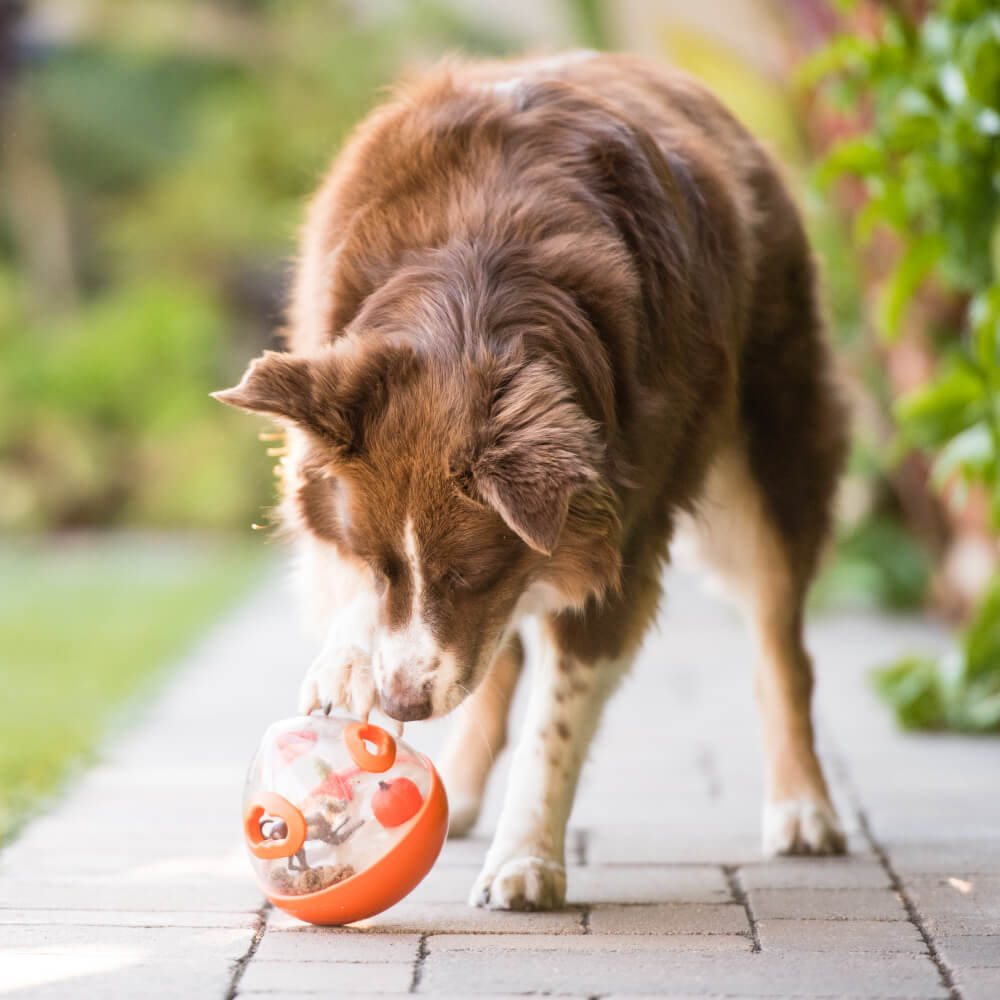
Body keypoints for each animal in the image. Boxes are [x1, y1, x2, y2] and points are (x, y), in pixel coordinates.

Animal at [215, 54, 848, 916]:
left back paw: (803, 806)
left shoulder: (616, 540)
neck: (472, 285)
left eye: (472, 574)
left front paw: (526, 860)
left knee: (783, 650)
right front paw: (348, 658)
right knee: (499, 665)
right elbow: (391, 614)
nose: (405, 707)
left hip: (765, 468)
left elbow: (556, 720)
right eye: (376, 562)